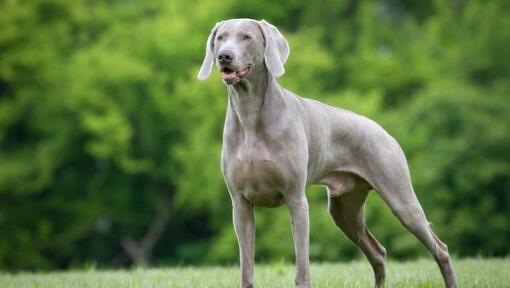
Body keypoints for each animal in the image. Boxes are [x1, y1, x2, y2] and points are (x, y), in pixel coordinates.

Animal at [196, 18, 458, 288]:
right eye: (220, 37)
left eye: (246, 37)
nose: (224, 56)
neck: (249, 115)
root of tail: (383, 130)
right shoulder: (240, 204)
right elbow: (246, 265)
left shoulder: (296, 199)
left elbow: (302, 263)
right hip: (344, 209)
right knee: (378, 252)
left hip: (400, 198)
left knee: (439, 248)